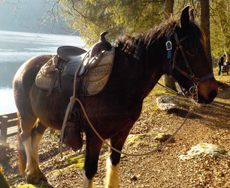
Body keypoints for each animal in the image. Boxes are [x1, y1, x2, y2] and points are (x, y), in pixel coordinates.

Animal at [13, 6, 217, 188]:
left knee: (35, 136)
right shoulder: (94, 136)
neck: (120, 82)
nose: (212, 92)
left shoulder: (122, 132)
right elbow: (90, 171)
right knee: (25, 136)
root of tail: (24, 66)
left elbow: (115, 162)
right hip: (27, 115)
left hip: (45, 117)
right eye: (192, 50)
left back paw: (37, 172)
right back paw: (32, 174)